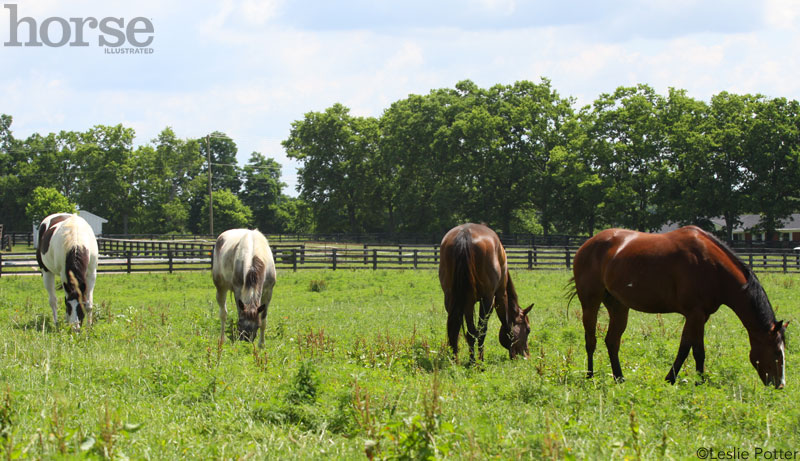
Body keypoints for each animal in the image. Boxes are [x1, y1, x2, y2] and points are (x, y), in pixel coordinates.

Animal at [438, 224, 532, 362]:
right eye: (528, 330)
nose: (527, 355)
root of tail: (465, 235)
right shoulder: (498, 296)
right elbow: (504, 324)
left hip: (456, 299)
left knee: (461, 331)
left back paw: (459, 360)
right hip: (486, 299)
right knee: (481, 331)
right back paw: (479, 361)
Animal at [568, 225, 788, 386]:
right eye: (777, 352)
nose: (780, 384)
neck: (713, 267)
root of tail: (586, 245)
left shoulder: (699, 316)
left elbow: (686, 347)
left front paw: (675, 378)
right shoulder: (695, 314)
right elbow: (696, 350)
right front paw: (697, 382)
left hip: (619, 307)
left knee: (612, 341)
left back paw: (619, 378)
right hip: (590, 303)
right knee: (591, 340)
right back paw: (590, 375)